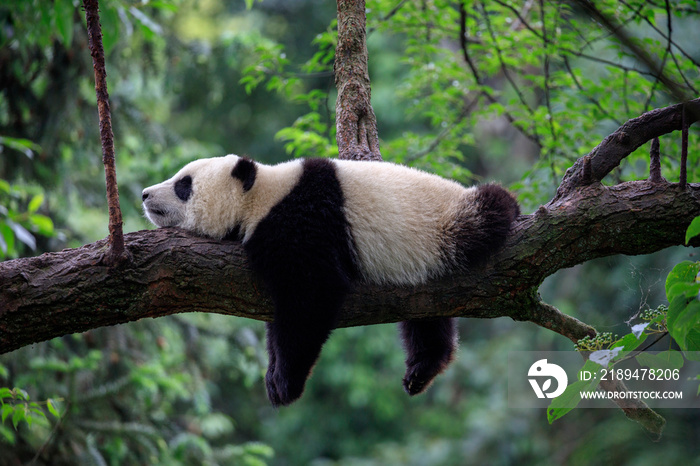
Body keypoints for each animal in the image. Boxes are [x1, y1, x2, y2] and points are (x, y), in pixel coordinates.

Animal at [141, 155, 520, 406]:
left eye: (183, 185)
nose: (145, 194)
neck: (262, 195)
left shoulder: (303, 222)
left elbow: (312, 296)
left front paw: (285, 383)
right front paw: (273, 374)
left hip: (447, 224)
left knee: (489, 210)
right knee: (426, 317)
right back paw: (422, 369)